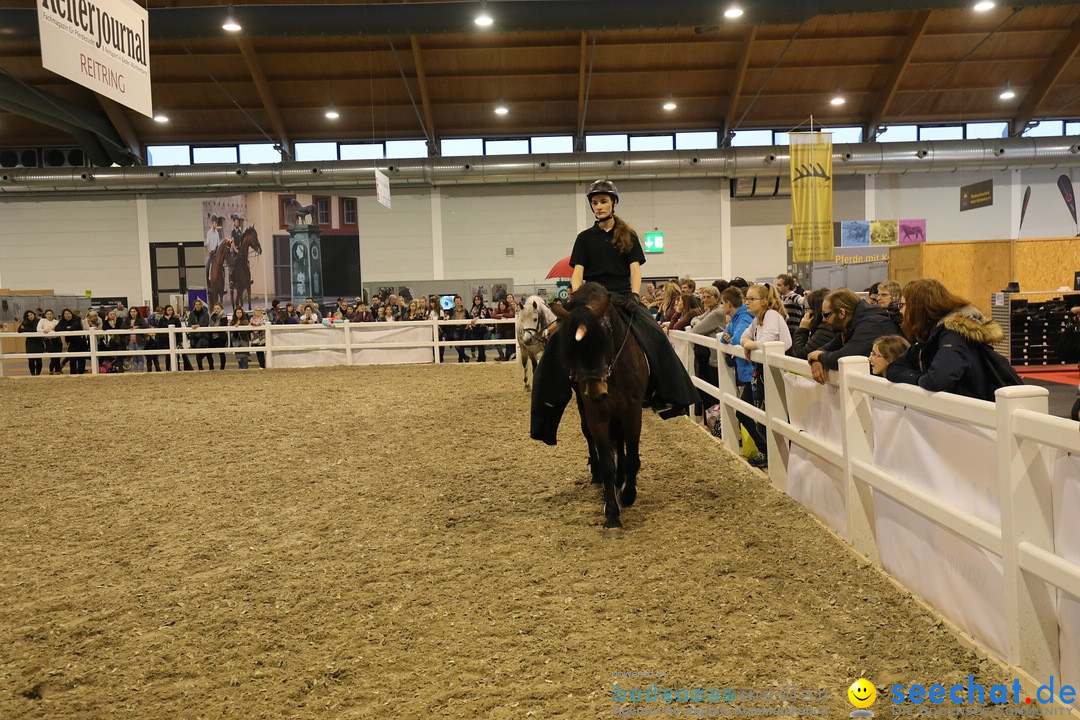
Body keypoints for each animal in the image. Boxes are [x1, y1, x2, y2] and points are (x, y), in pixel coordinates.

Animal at [552, 282, 643, 528]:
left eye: (606, 336)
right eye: (571, 349)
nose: (596, 392)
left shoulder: (632, 412)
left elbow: (631, 456)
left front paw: (628, 494)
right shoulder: (598, 415)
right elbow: (607, 462)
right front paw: (611, 513)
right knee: (591, 437)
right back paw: (598, 476)